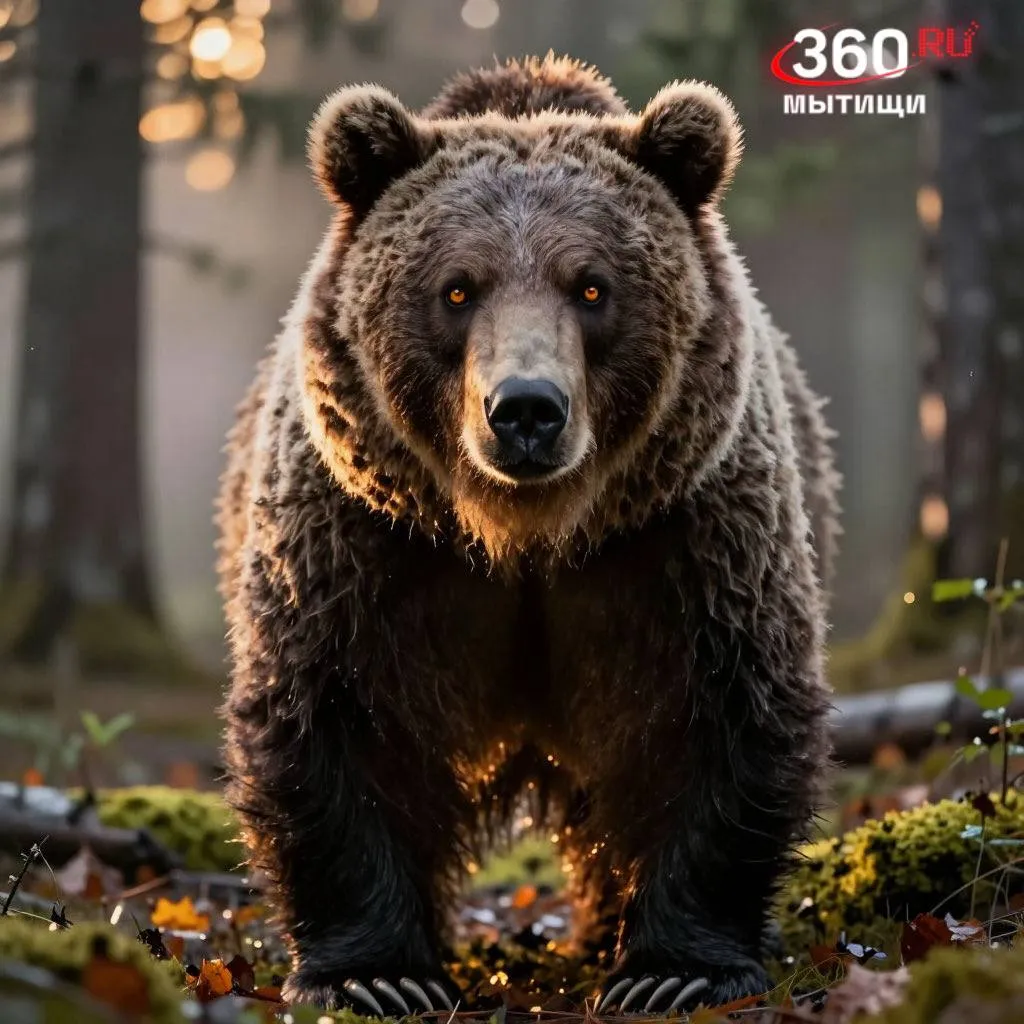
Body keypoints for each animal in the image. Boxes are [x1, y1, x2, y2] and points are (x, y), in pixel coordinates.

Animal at [216, 54, 840, 1015]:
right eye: (456, 287)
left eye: (592, 286)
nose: (526, 411)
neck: (527, 536)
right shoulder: (366, 540)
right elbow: (332, 718)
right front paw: (378, 972)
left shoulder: (684, 536)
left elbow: (723, 713)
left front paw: (674, 968)